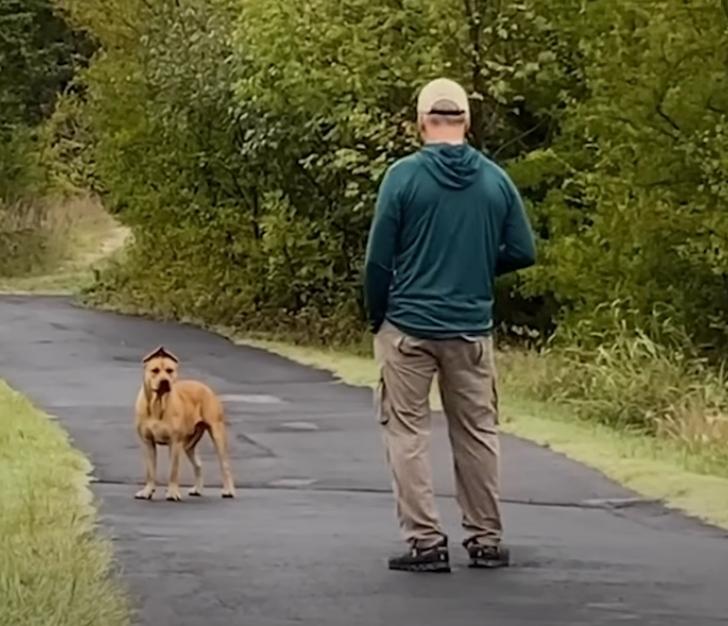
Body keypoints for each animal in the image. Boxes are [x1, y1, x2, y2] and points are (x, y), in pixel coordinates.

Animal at [134, 344, 236, 500]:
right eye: (155, 370)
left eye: (170, 370)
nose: (165, 381)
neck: (158, 403)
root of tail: (204, 386)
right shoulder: (148, 443)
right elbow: (150, 471)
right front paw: (147, 491)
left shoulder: (174, 442)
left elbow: (173, 470)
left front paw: (172, 493)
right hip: (189, 444)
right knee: (198, 464)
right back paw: (197, 489)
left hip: (217, 434)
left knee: (225, 464)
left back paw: (228, 491)